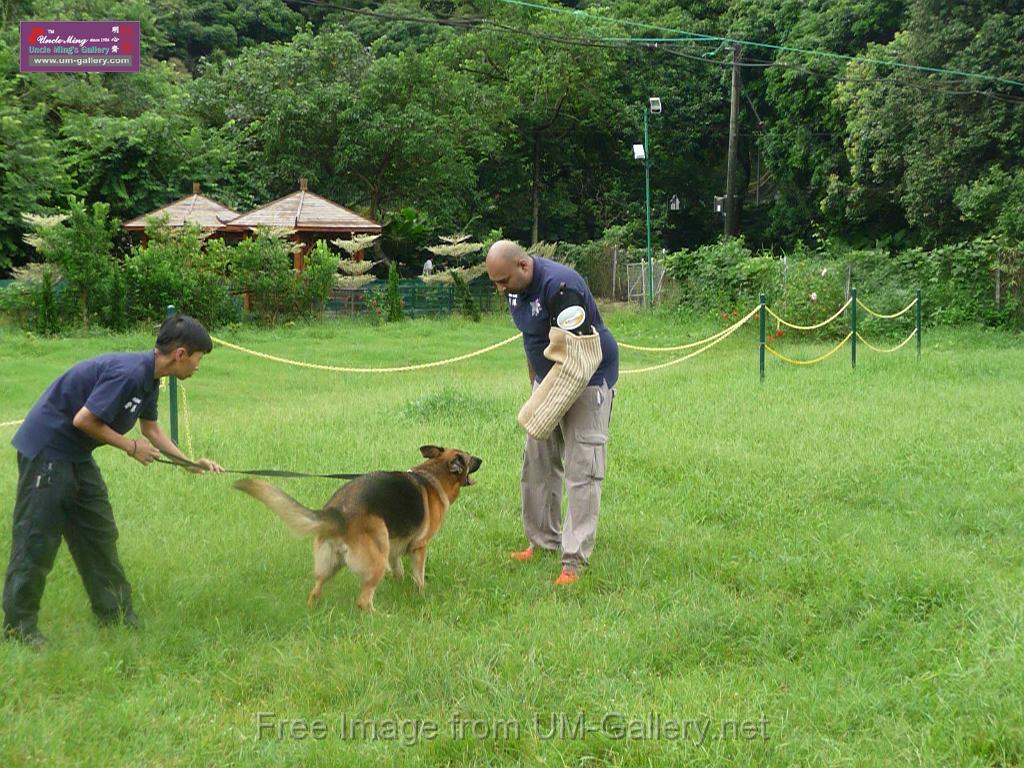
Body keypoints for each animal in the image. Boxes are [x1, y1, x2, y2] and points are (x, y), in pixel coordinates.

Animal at [234, 444, 481, 614]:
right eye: (470, 458)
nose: (482, 458)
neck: (432, 476)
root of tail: (337, 513)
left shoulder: (393, 550)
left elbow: (399, 572)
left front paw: (400, 588)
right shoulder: (419, 548)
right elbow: (418, 577)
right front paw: (420, 595)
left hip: (330, 564)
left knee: (315, 591)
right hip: (376, 562)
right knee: (363, 600)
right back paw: (382, 618)